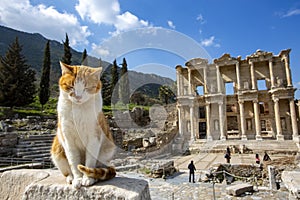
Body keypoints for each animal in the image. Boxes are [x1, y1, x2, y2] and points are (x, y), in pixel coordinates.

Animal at [50, 61, 116, 189]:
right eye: (71, 86)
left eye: (86, 88)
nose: (78, 97)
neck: (78, 110)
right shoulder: (68, 139)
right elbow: (73, 162)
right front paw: (78, 179)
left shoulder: (94, 137)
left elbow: (89, 162)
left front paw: (88, 178)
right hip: (57, 151)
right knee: (66, 171)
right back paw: (70, 178)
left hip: (106, 151)